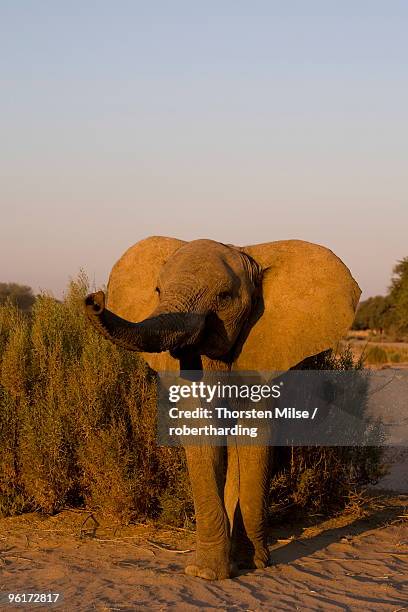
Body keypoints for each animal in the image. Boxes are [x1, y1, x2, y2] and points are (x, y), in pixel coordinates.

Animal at [83, 237, 360, 580]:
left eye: (224, 297)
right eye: (158, 291)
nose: (94, 299)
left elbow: (253, 434)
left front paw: (248, 564)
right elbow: (202, 430)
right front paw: (205, 572)